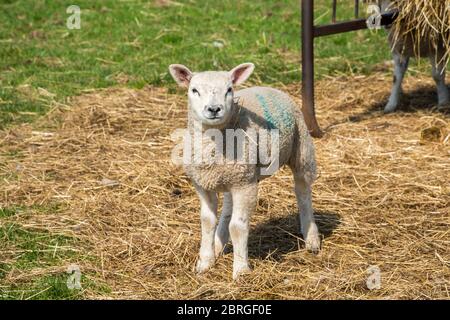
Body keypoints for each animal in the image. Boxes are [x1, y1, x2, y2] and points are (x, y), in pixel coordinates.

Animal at [169, 63, 320, 280]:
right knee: (228, 207)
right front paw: (205, 262)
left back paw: (312, 238)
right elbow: (207, 221)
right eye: (194, 90)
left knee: (303, 192)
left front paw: (240, 270)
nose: (214, 109)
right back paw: (218, 245)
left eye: (229, 90)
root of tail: (271, 87)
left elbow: (238, 226)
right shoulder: (204, 184)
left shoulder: (245, 186)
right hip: (233, 176)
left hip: (301, 150)